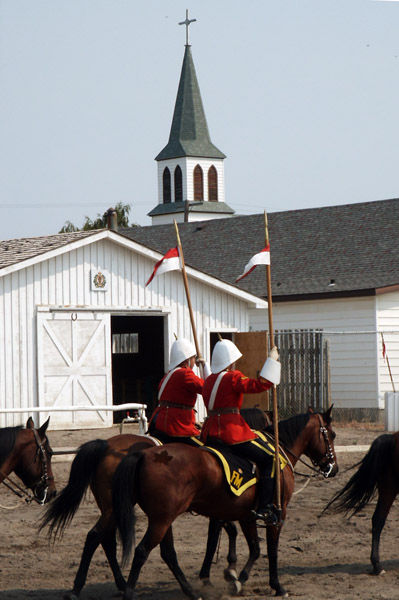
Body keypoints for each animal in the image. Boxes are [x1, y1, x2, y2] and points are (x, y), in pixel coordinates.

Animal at [113, 406, 340, 596]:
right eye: (332, 435)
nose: (333, 468)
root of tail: (144, 454)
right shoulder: (277, 513)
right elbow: (271, 549)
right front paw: (276, 586)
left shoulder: (245, 514)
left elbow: (253, 548)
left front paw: (237, 578)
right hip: (161, 520)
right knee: (141, 551)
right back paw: (129, 592)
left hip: (162, 519)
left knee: (167, 553)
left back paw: (191, 592)